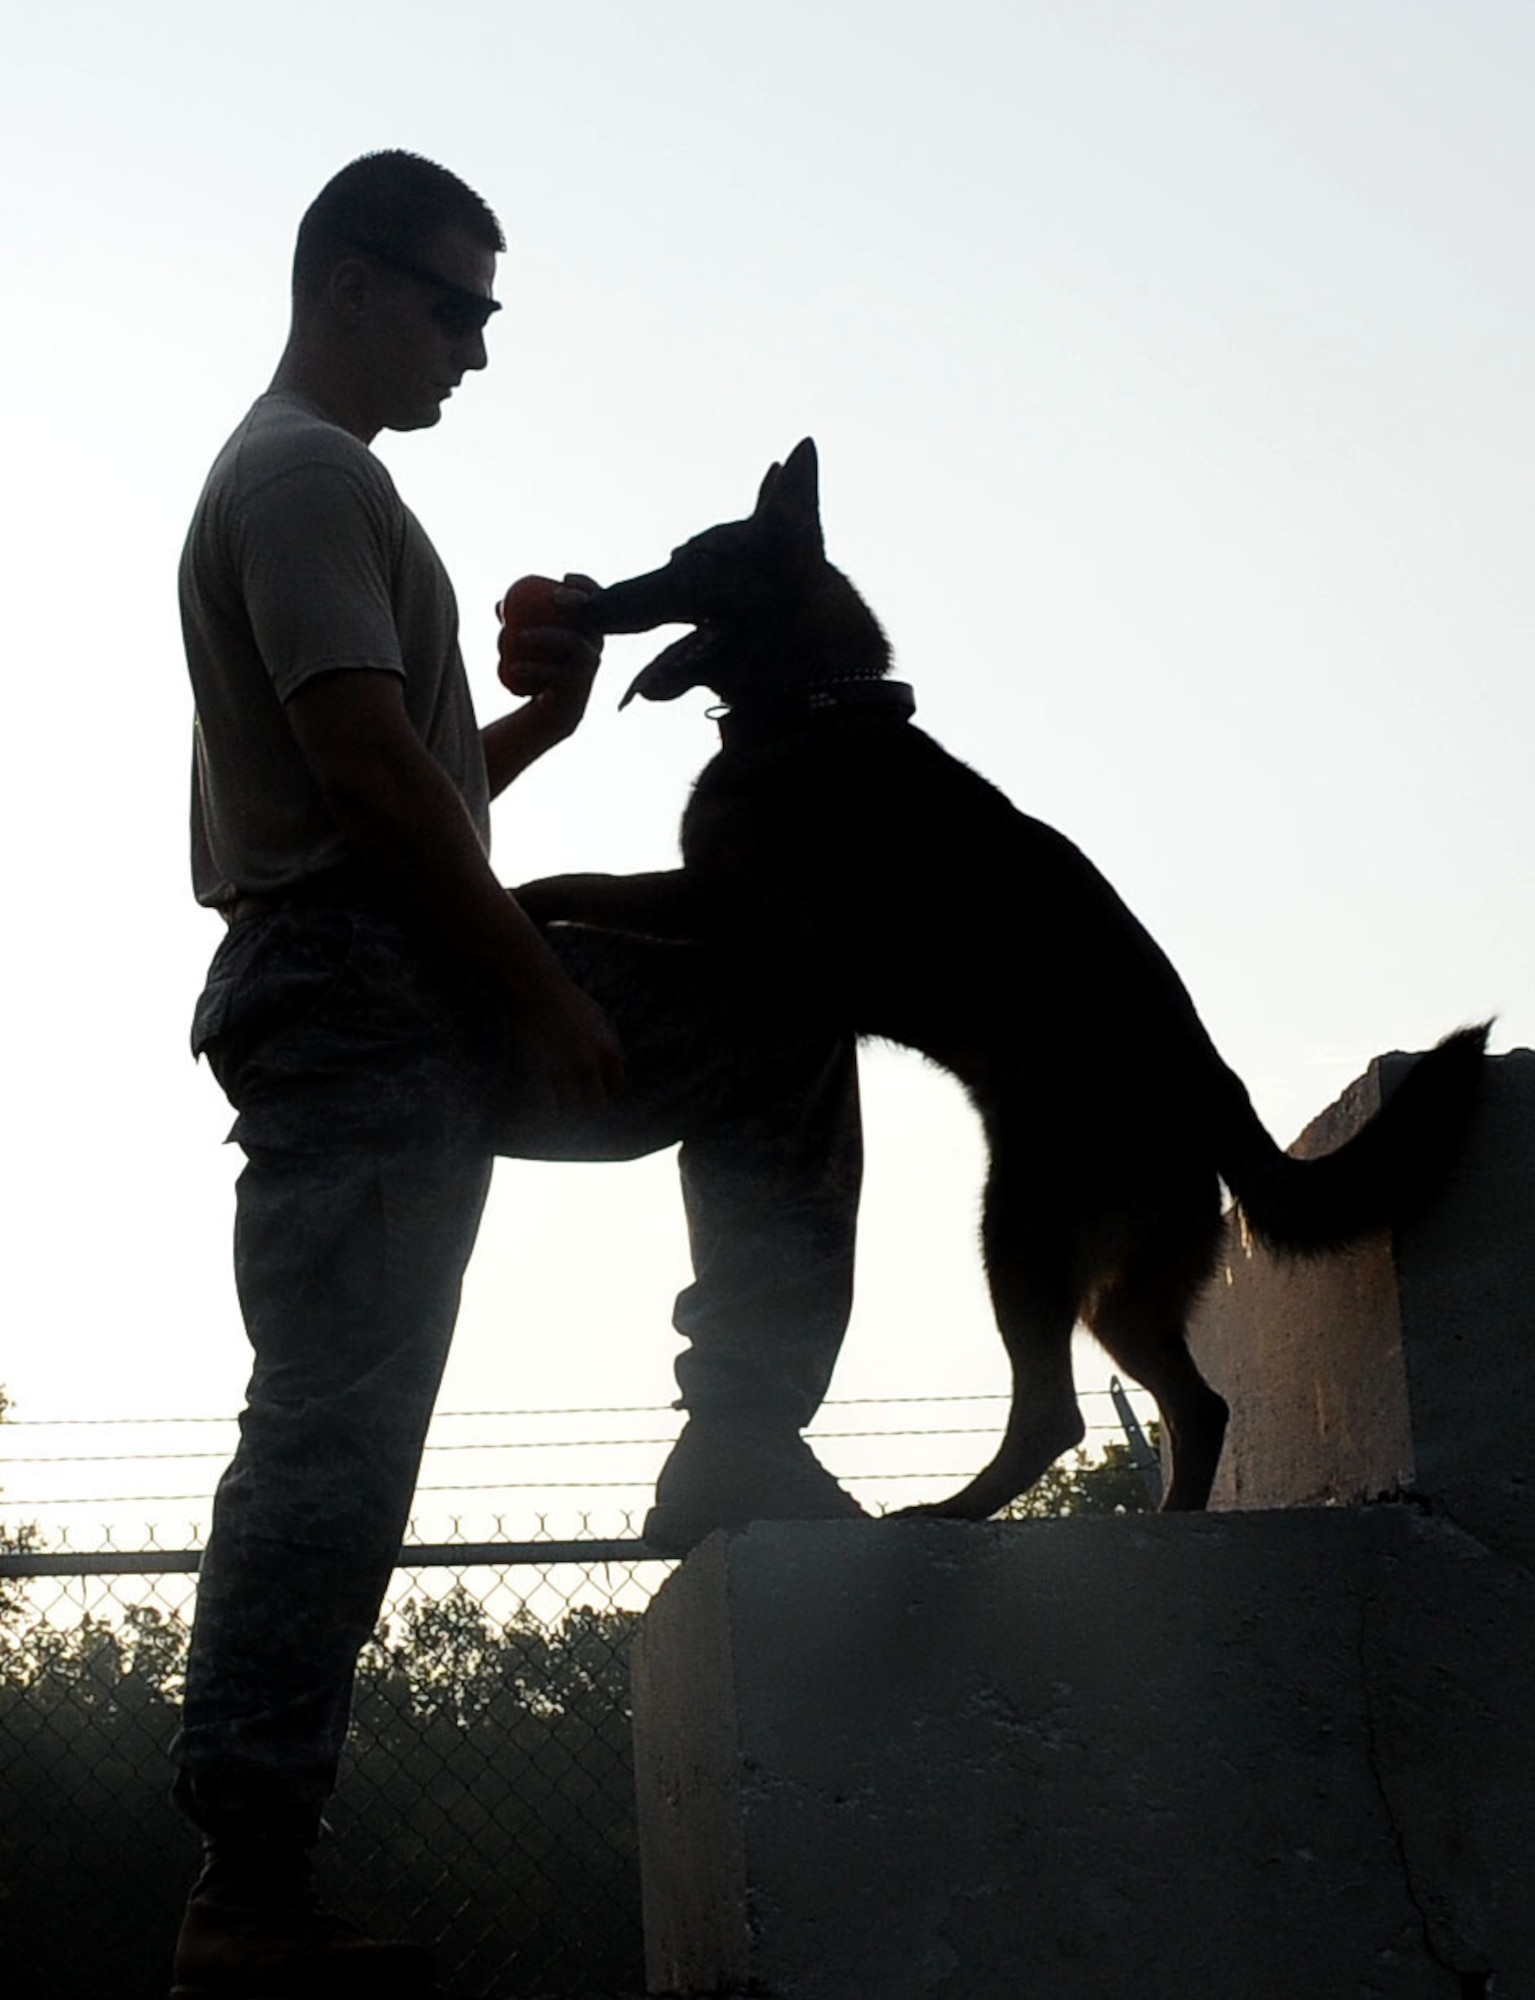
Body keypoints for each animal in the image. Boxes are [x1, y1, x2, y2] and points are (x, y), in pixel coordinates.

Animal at [519, 442, 1487, 1512]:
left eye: (692, 561)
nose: (591, 599)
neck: (814, 704)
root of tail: (1218, 1094)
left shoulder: (722, 913)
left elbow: (581, 883)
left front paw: (520, 902)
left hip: (1019, 1234)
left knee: (1058, 1413)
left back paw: (948, 1515)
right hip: (1118, 1285)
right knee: (1196, 1406)